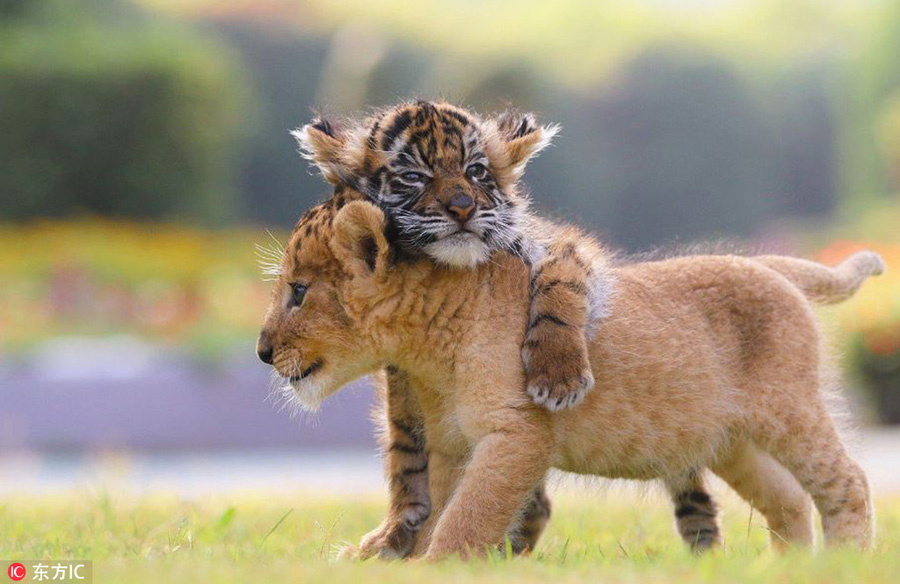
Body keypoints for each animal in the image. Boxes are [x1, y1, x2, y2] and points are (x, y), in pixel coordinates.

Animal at [256, 196, 879, 559]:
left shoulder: (518, 434)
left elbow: (469, 516)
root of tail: (766, 262)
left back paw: (846, 563)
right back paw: (788, 570)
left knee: (847, 480)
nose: (261, 352)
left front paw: (439, 566)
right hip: (733, 443)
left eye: (298, 292)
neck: (428, 344)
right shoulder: (449, 444)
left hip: (789, 411)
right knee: (789, 499)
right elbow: (436, 506)